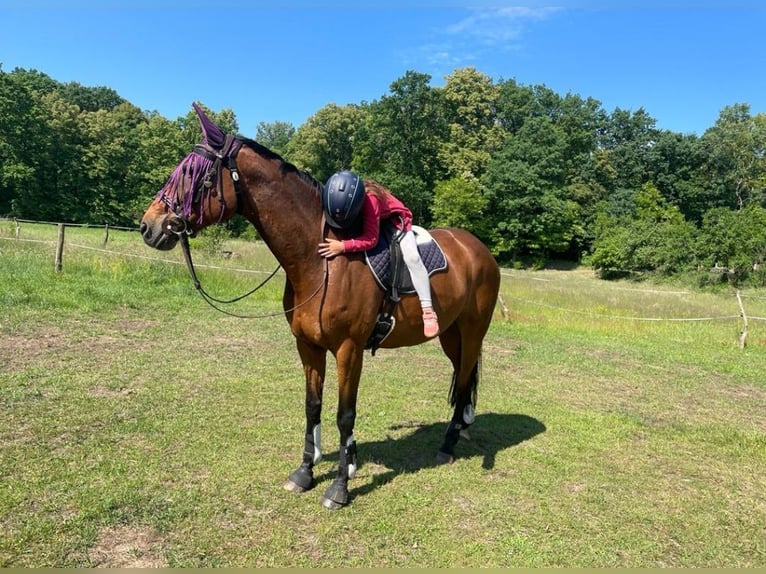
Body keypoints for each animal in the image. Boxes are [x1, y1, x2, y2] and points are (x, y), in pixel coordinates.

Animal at [141, 104, 504, 512]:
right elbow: (312, 406)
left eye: (194, 175)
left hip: (472, 331)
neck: (320, 262)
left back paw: (448, 444)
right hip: (450, 334)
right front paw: (305, 473)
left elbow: (344, 415)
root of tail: (479, 249)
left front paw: (339, 487)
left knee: (464, 379)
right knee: (462, 376)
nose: (149, 226)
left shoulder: (349, 350)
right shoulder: (308, 345)